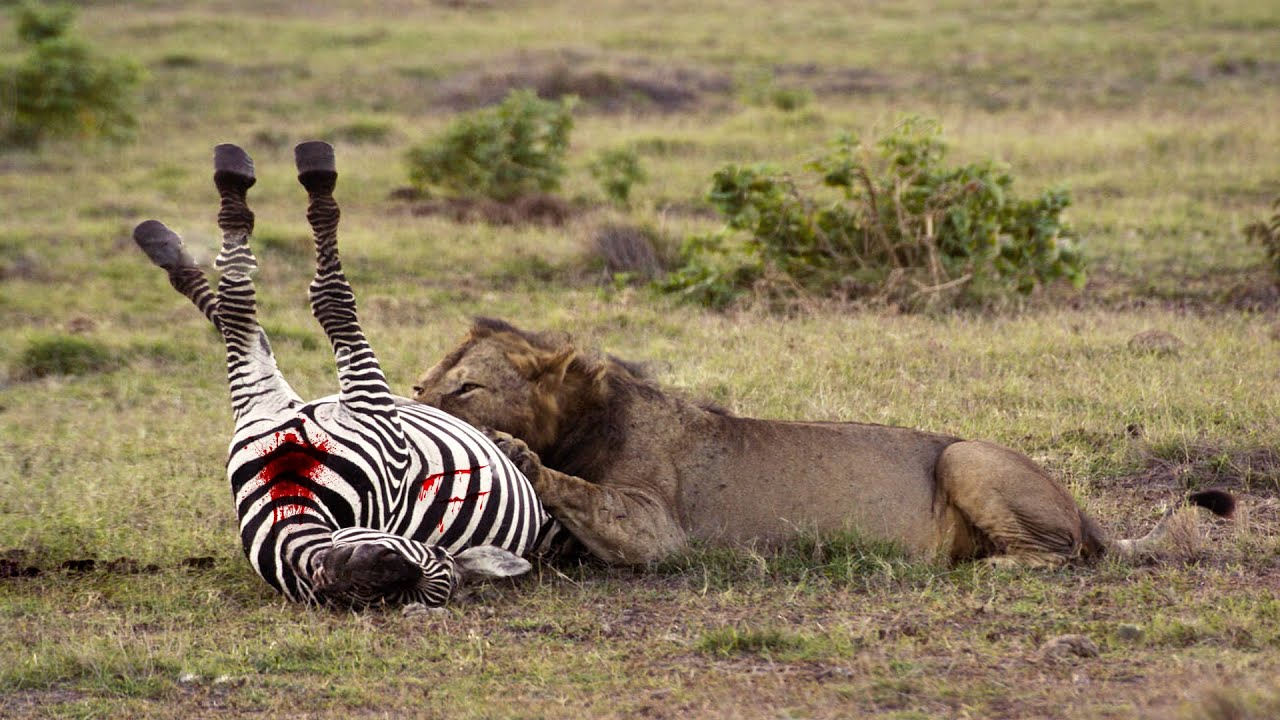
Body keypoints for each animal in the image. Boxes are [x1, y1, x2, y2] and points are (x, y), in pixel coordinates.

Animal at [132, 141, 565, 608]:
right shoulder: (270, 407)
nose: (373, 561)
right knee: (245, 314)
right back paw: (172, 236)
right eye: (424, 557)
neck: (289, 496)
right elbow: (256, 309)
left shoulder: (360, 409)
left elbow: (309, 302)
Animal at [412, 317, 1234, 567]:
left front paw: (519, 454)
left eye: (466, 388)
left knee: (1061, 554)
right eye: (425, 380)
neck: (583, 418)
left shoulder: (661, 533)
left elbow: (583, 491)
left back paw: (984, 567)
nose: (412, 403)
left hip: (966, 454)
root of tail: (1087, 510)